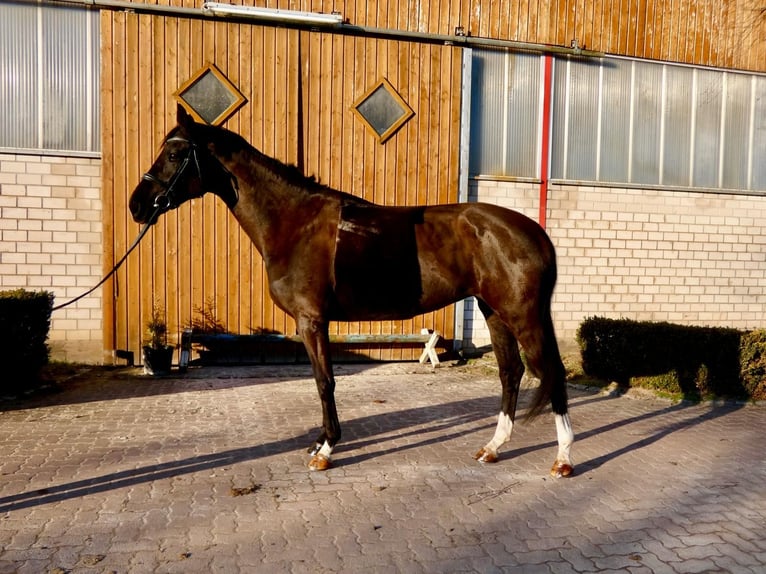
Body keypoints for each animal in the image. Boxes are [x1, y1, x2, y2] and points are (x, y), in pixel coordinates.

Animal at [132, 106, 572, 480]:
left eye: (175, 154)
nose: (138, 206)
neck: (294, 222)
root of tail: (534, 233)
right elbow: (322, 381)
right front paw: (320, 442)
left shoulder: (312, 321)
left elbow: (324, 381)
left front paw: (326, 449)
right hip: (494, 311)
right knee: (511, 373)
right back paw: (494, 447)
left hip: (522, 315)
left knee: (551, 371)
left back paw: (563, 458)